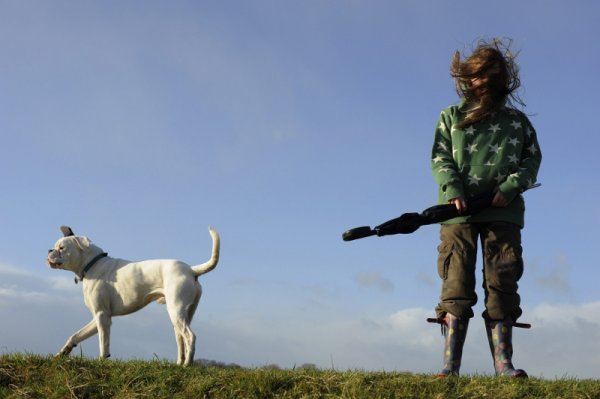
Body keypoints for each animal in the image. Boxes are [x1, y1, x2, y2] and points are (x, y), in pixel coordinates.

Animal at [46, 225, 220, 366]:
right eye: (55, 247)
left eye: (61, 248)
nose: (49, 250)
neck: (93, 264)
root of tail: (191, 270)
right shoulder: (98, 318)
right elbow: (75, 336)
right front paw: (62, 353)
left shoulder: (102, 316)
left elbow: (103, 343)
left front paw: (102, 360)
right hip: (181, 316)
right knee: (181, 339)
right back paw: (179, 364)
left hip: (176, 310)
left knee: (190, 337)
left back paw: (187, 365)